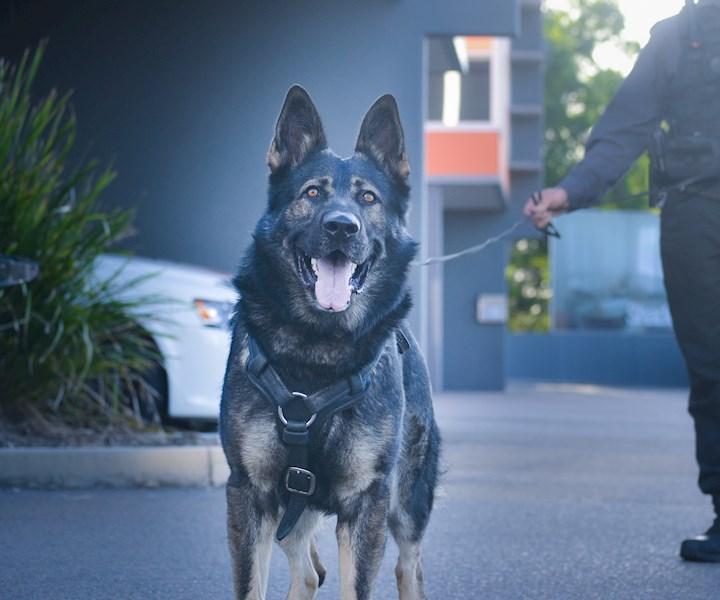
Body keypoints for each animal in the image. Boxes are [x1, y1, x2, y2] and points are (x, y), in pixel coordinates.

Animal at [221, 85, 438, 600]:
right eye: (313, 193)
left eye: (368, 198)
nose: (342, 226)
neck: (316, 351)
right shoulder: (250, 493)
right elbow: (252, 586)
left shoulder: (366, 503)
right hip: (291, 509)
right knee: (307, 573)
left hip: (407, 501)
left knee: (409, 567)